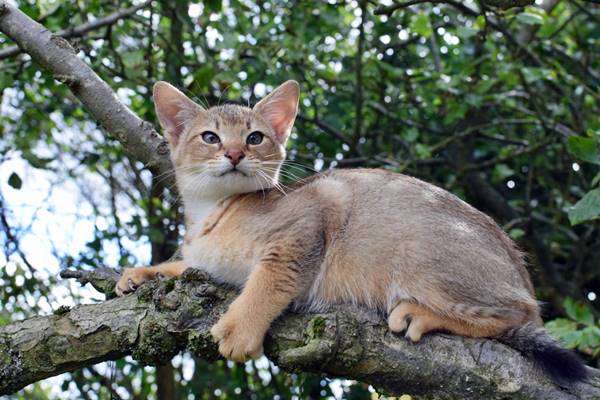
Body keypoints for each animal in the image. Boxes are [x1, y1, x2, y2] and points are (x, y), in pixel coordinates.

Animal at [115, 79, 588, 382]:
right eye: (210, 137)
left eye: (255, 138)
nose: (233, 154)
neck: (211, 213)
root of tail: (519, 269)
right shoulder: (207, 262)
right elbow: (184, 266)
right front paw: (141, 273)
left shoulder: (314, 215)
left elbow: (269, 280)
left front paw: (239, 327)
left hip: (418, 255)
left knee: (518, 314)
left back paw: (423, 314)